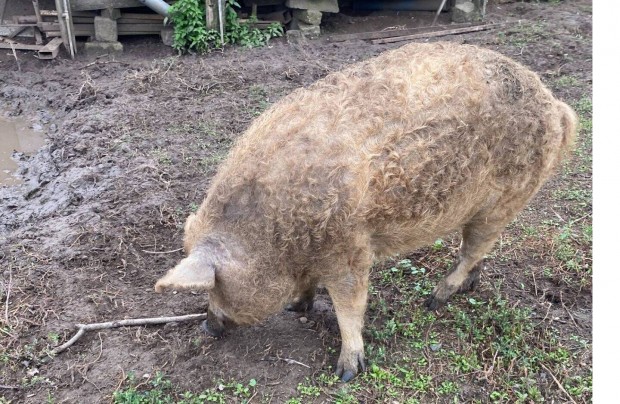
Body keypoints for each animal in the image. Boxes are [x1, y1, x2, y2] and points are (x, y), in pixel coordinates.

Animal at [154, 41, 576, 382]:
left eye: (215, 286)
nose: (207, 327)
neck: (274, 235)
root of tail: (554, 103)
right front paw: (295, 307)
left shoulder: (351, 249)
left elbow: (350, 306)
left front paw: (345, 374)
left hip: (506, 199)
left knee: (473, 249)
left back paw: (435, 298)